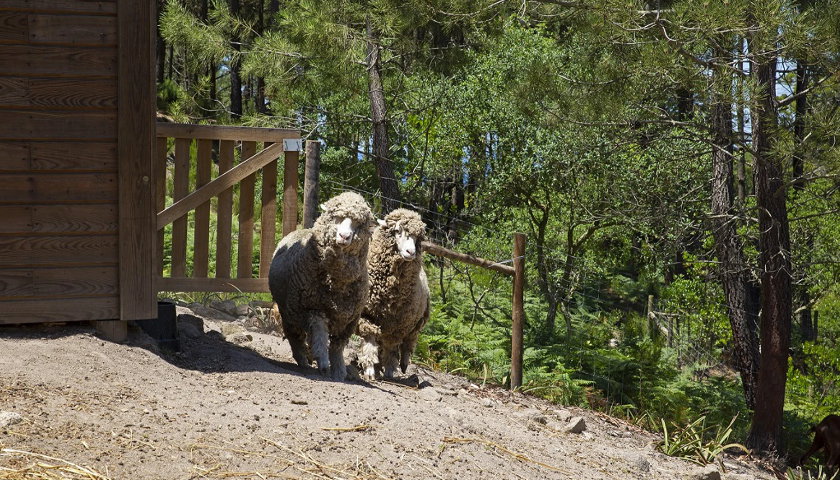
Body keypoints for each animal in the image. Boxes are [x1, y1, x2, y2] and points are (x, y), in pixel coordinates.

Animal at [270, 189, 374, 380]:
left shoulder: (349, 320)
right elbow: (319, 336)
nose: (344, 236)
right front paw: (324, 364)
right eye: (336, 217)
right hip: (289, 310)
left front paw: (339, 370)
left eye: (358, 223)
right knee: (294, 336)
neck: (336, 283)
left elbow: (337, 347)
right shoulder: (313, 309)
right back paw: (303, 359)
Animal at [356, 208, 430, 380]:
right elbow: (370, 340)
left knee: (408, 342)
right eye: (397, 231)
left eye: (418, 238)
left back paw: (403, 363)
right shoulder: (366, 315)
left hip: (417, 323)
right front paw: (370, 369)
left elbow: (391, 347)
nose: (411, 252)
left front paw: (389, 370)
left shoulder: (399, 326)